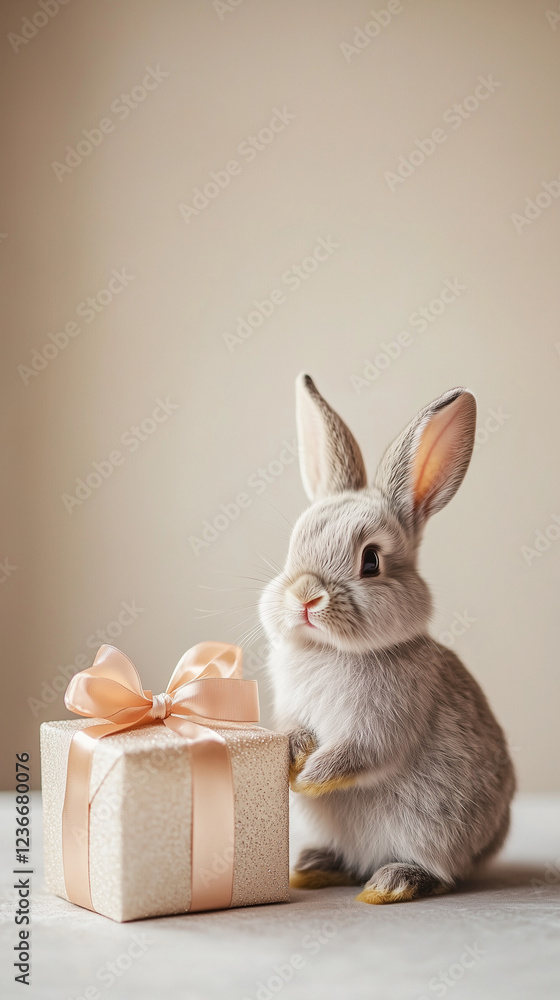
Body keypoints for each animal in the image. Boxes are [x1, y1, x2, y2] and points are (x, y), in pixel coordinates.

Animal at [259, 374, 515, 904]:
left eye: (371, 561)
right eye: (294, 547)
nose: (304, 596)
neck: (330, 651)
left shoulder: (383, 721)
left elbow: (357, 753)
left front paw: (307, 780)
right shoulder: (291, 708)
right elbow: (293, 730)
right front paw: (294, 760)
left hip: (435, 831)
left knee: (440, 873)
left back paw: (389, 884)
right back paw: (314, 867)